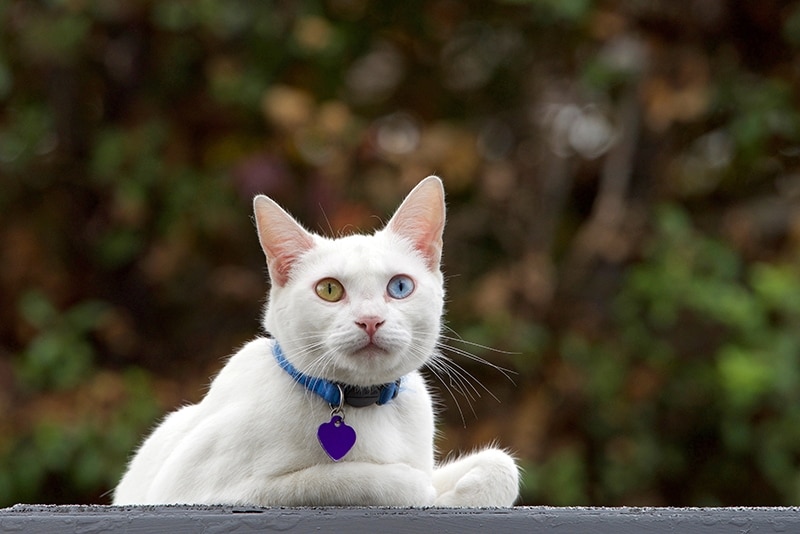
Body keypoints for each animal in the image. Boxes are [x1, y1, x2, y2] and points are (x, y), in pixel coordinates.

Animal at [114, 178, 524, 508]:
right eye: (329, 290)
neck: (361, 404)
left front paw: (455, 494)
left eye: (399, 287)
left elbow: (502, 465)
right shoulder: (195, 491)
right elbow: (332, 479)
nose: (370, 320)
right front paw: (418, 489)